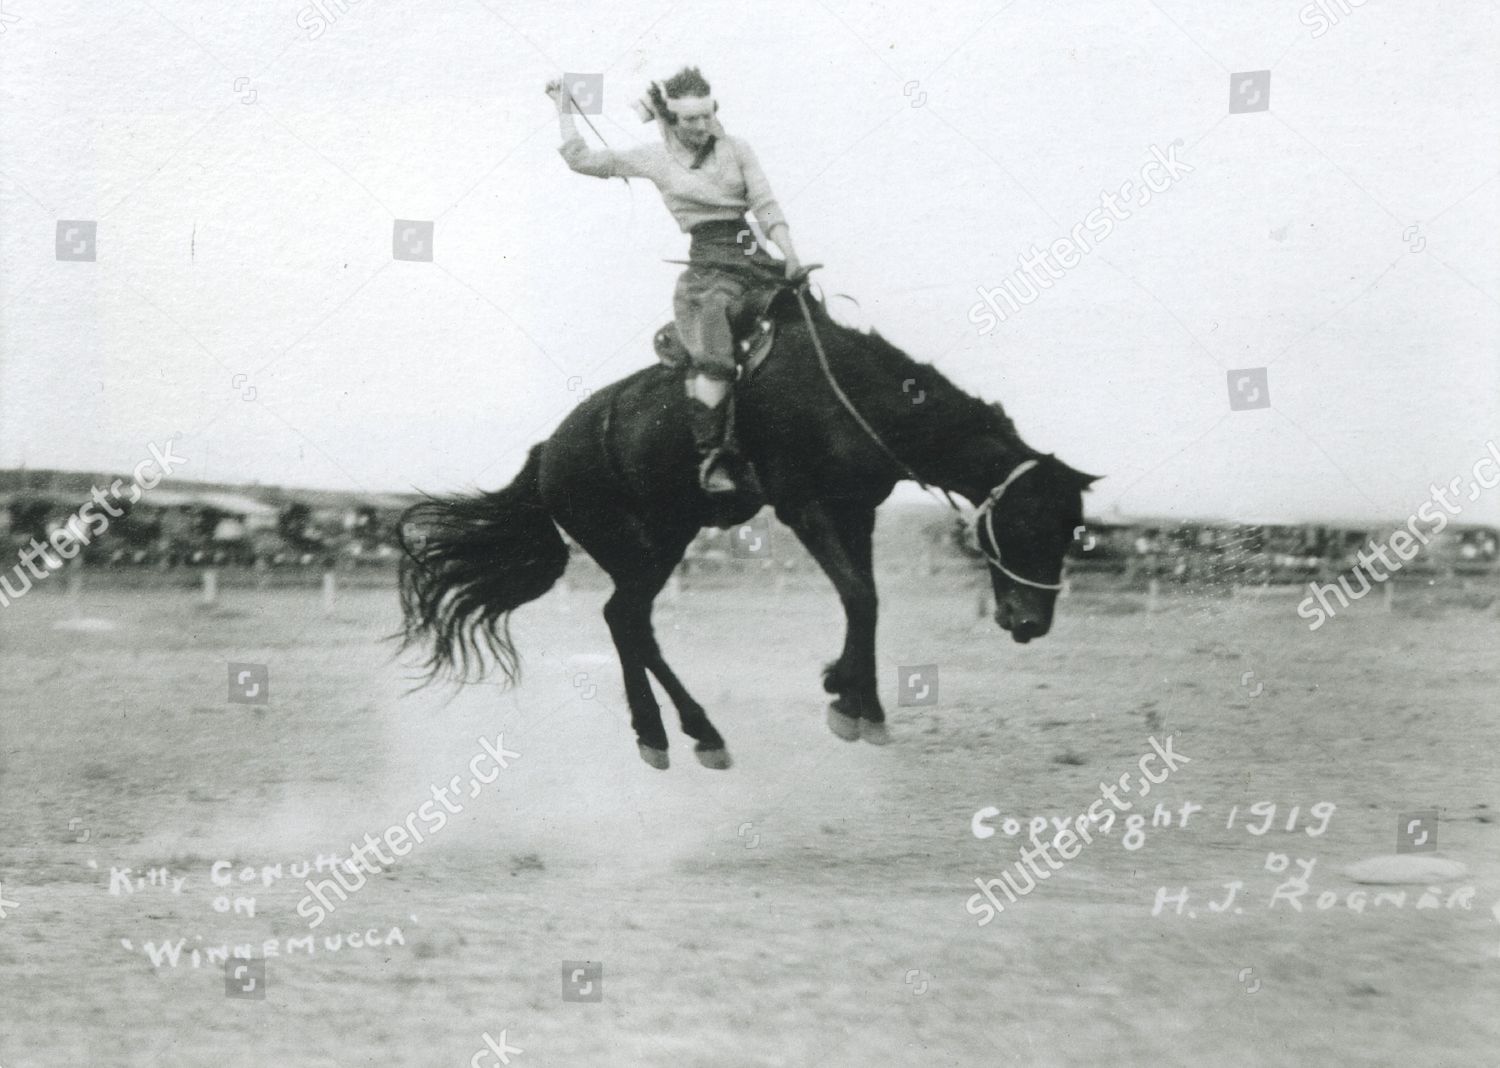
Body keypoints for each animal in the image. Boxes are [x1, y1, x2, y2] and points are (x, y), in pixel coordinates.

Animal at [399, 283, 1098, 768]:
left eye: (1073, 528)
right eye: (1029, 521)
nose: (1032, 622)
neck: (850, 396)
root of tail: (549, 452)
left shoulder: (857, 511)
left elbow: (866, 598)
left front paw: (849, 691)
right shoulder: (805, 506)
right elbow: (860, 596)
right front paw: (852, 703)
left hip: (665, 539)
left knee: (631, 622)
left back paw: (680, 734)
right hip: (647, 544)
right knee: (625, 618)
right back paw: (679, 733)